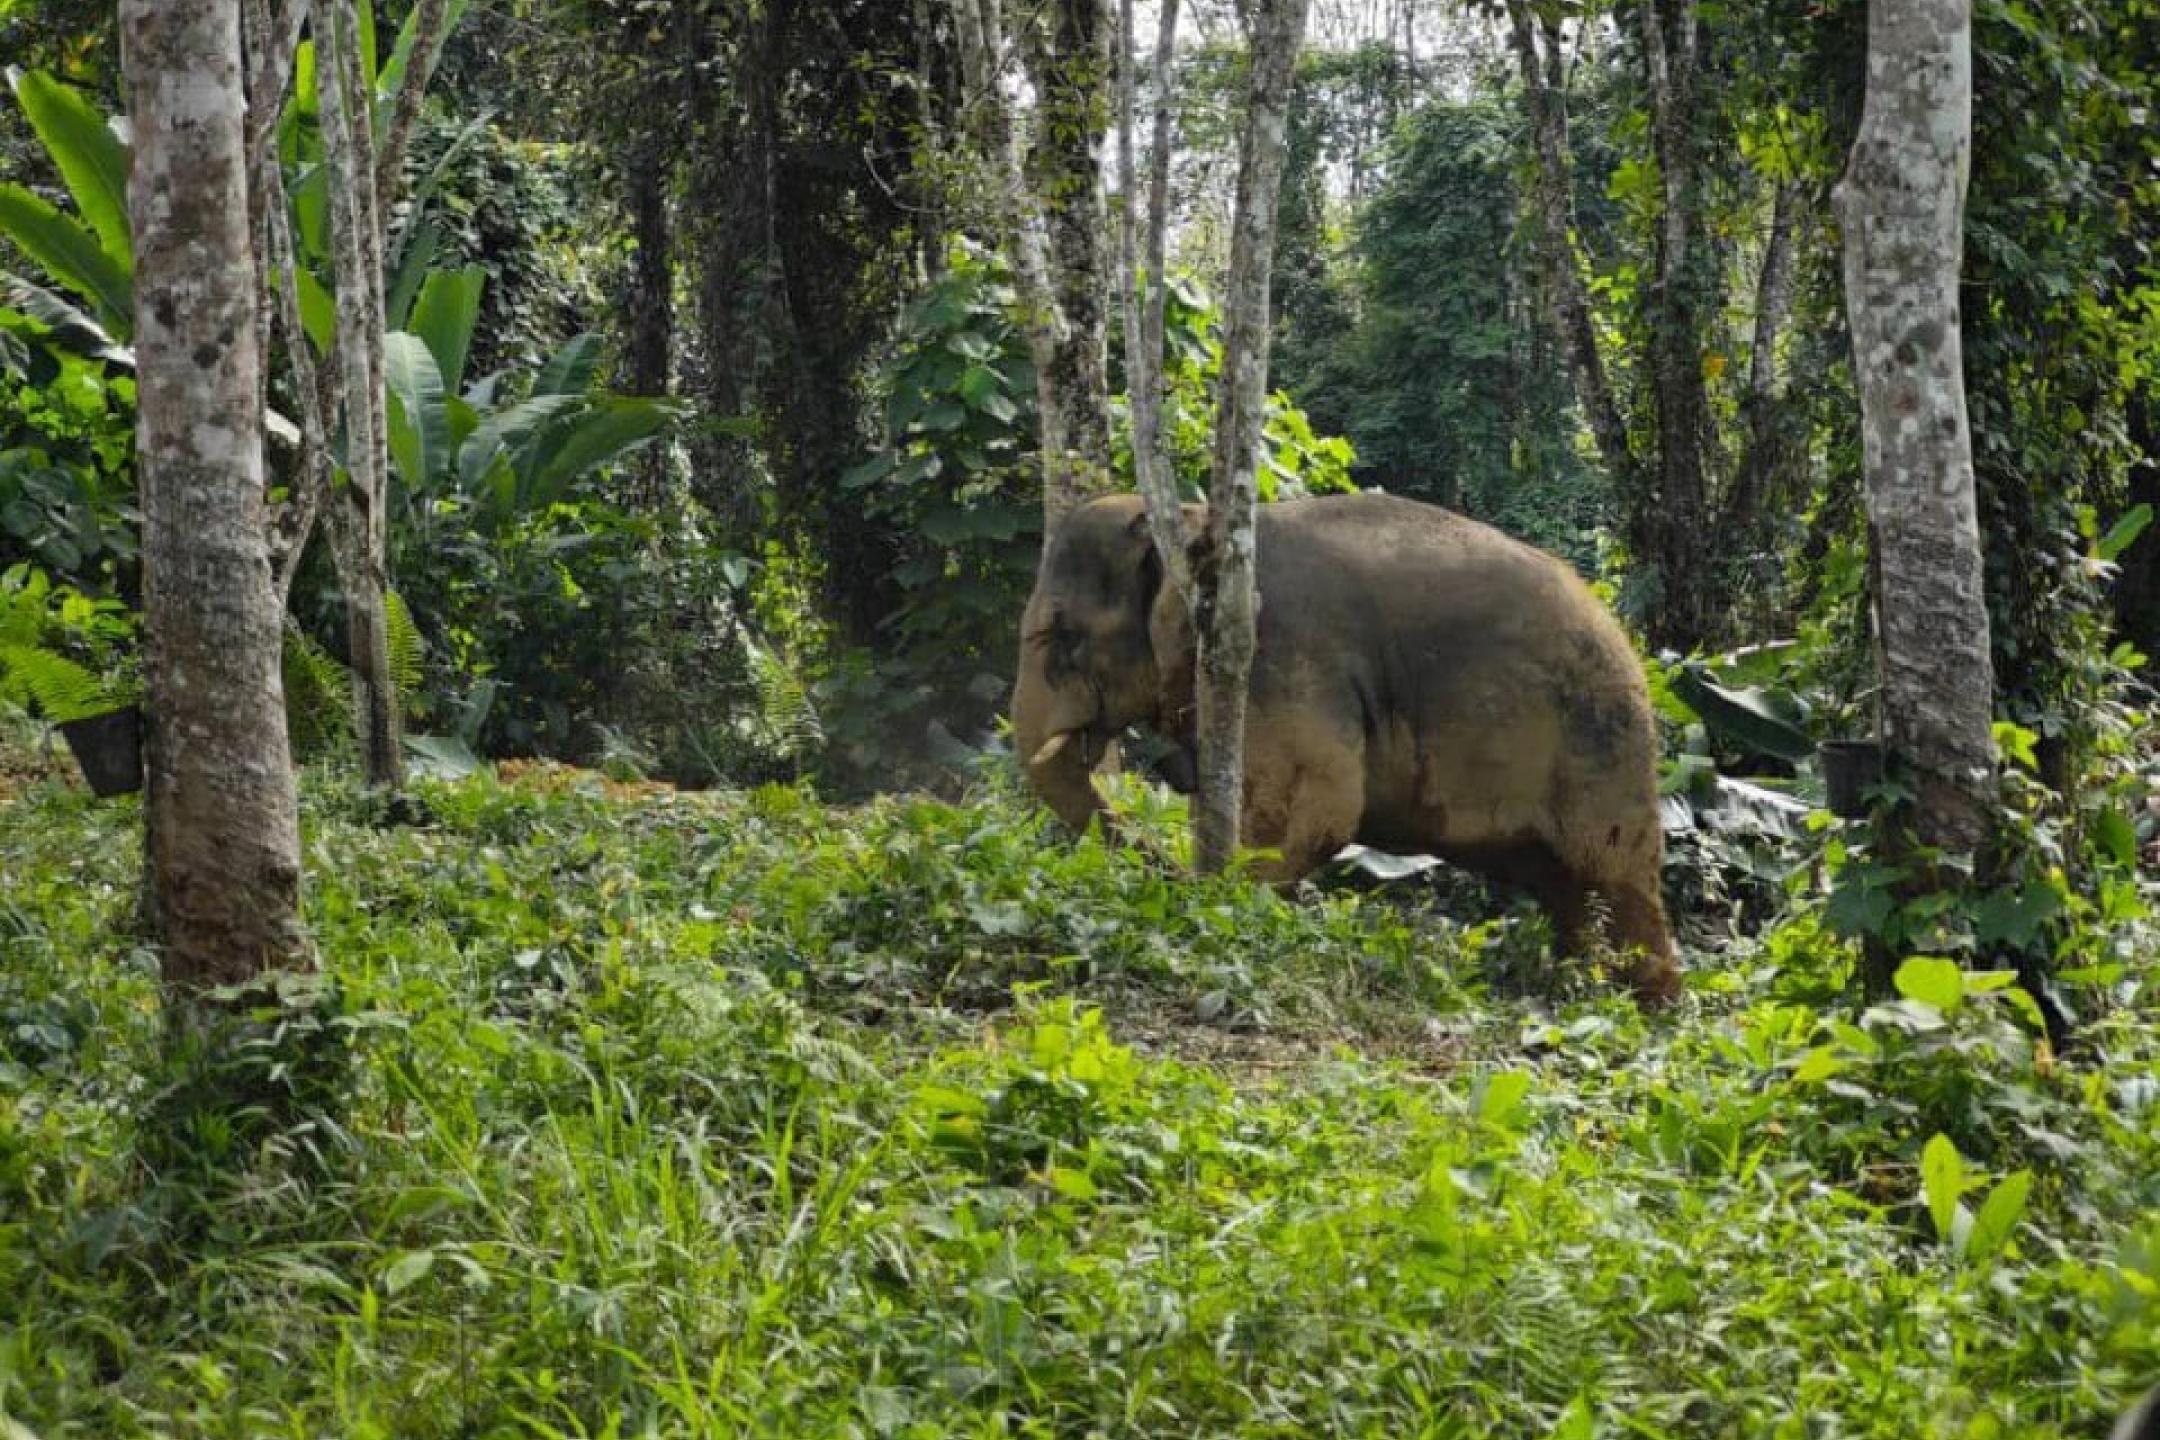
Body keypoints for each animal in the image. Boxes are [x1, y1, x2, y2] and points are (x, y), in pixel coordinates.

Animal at [1010, 490, 1684, 1010]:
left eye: (1063, 638)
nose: (1171, 876)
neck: (1196, 520)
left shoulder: (1281, 657)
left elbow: (1313, 816)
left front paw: (1226, 902)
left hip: (1601, 745)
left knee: (1614, 874)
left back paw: (1650, 1006)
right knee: (1565, 886)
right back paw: (1581, 987)